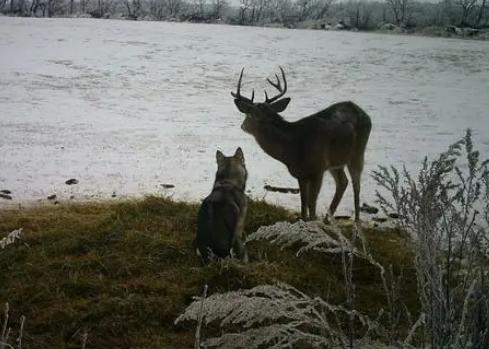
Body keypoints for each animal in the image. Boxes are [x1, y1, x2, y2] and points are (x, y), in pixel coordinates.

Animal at [229, 66, 370, 222]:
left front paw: (313, 222)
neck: (294, 149)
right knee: (343, 182)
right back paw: (327, 220)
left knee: (356, 185)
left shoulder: (318, 169)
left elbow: (311, 204)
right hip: (336, 161)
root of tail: (361, 110)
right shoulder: (301, 175)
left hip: (358, 152)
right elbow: (303, 205)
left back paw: (356, 222)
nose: (243, 126)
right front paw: (305, 220)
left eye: (249, 115)